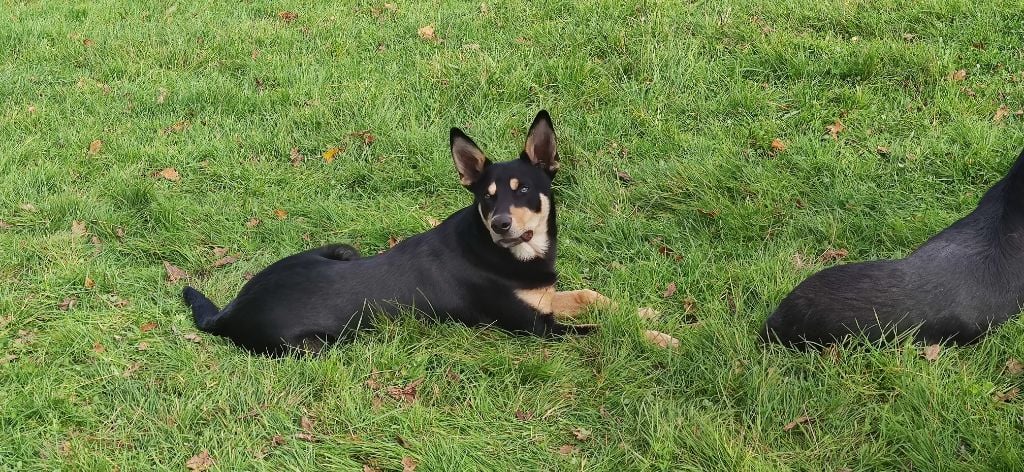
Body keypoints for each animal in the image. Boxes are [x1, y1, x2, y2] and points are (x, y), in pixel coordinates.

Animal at [182, 111, 610, 355]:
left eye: (522, 190)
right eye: (487, 198)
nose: (501, 224)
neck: (504, 253)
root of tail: (228, 312)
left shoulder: (544, 300)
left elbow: (587, 296)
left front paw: (620, 304)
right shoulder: (537, 329)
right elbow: (599, 333)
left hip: (342, 249)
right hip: (317, 346)